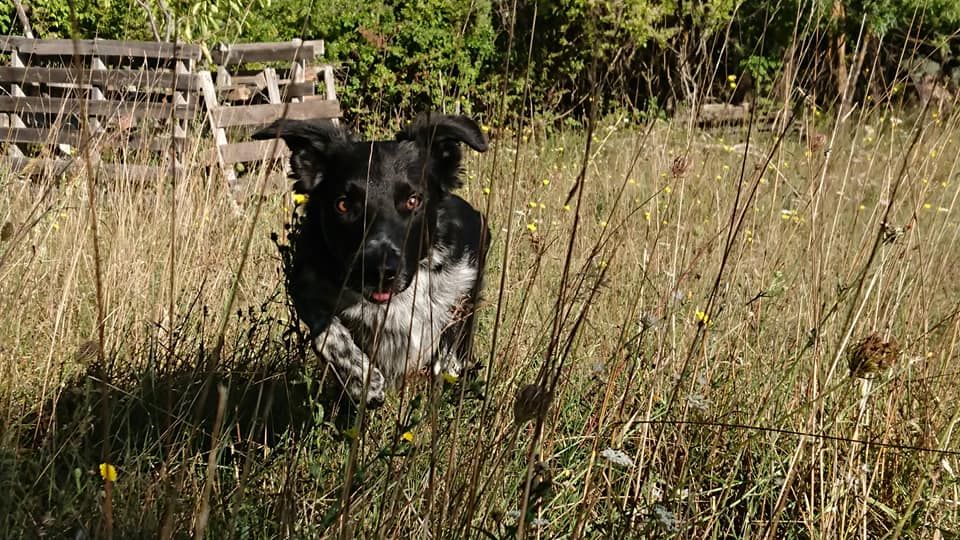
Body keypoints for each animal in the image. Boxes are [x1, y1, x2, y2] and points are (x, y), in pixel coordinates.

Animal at [255, 115, 492, 410]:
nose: (379, 270)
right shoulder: (305, 282)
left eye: (413, 200)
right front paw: (364, 382)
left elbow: (449, 352)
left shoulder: (464, 278)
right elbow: (328, 337)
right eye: (343, 205)